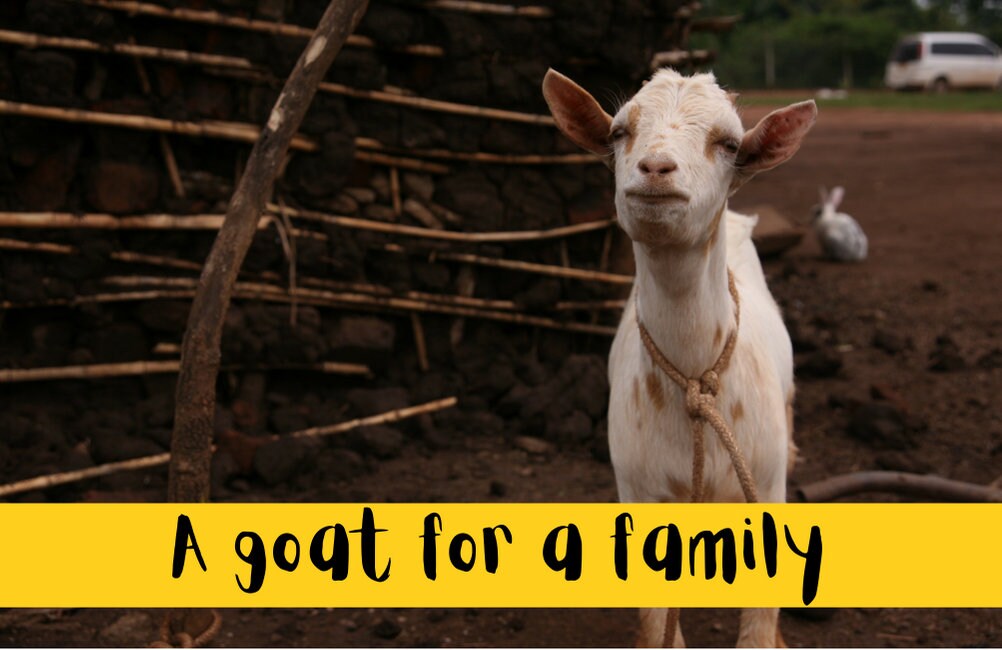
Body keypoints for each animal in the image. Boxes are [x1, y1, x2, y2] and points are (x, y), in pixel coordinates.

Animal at [543, 68, 816, 647]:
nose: (655, 169)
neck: (695, 378)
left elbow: (759, 623)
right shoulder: (637, 489)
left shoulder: (765, 486)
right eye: (619, 131)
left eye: (730, 143)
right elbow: (657, 623)